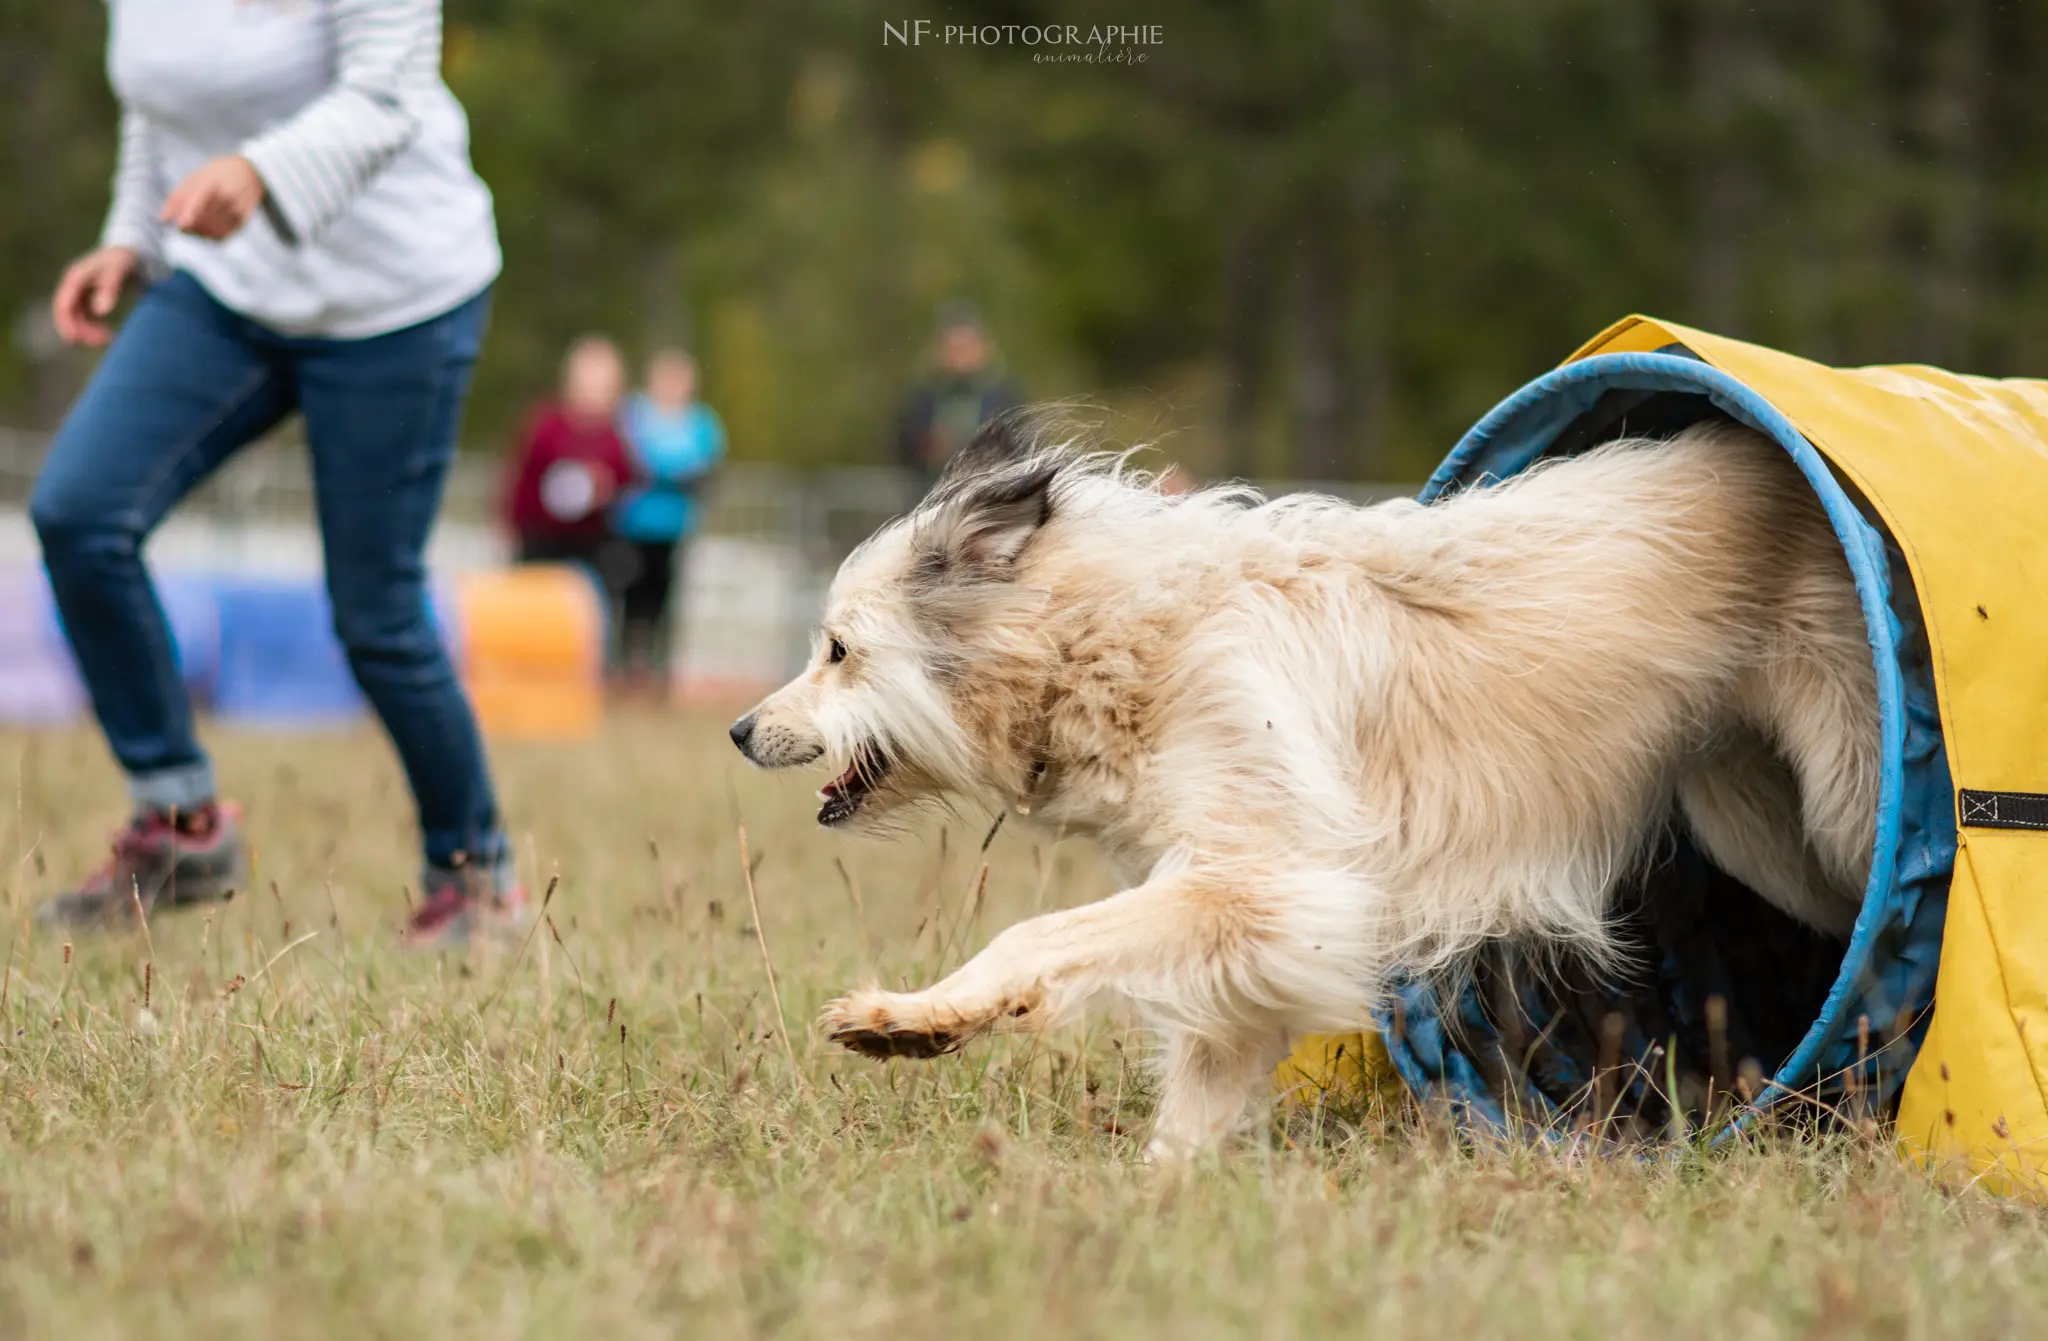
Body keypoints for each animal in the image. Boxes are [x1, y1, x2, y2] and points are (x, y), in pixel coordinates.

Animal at [729, 413, 1875, 1162]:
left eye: (838, 651)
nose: (738, 731)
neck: (1106, 637)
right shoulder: (1249, 919)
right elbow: (1201, 1080)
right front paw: (1158, 1204)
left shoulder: (1270, 884)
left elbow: (1037, 936)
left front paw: (912, 1020)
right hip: (1755, 820)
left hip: (1840, 799)